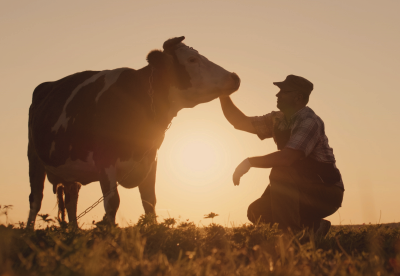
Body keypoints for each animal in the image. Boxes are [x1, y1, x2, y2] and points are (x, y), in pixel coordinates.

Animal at [28, 36, 241, 226]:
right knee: (35, 200)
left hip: (71, 172)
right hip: (34, 158)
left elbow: (149, 202)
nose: (235, 77)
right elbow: (112, 203)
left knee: (71, 201)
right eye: (191, 60)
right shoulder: (105, 160)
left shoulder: (150, 159)